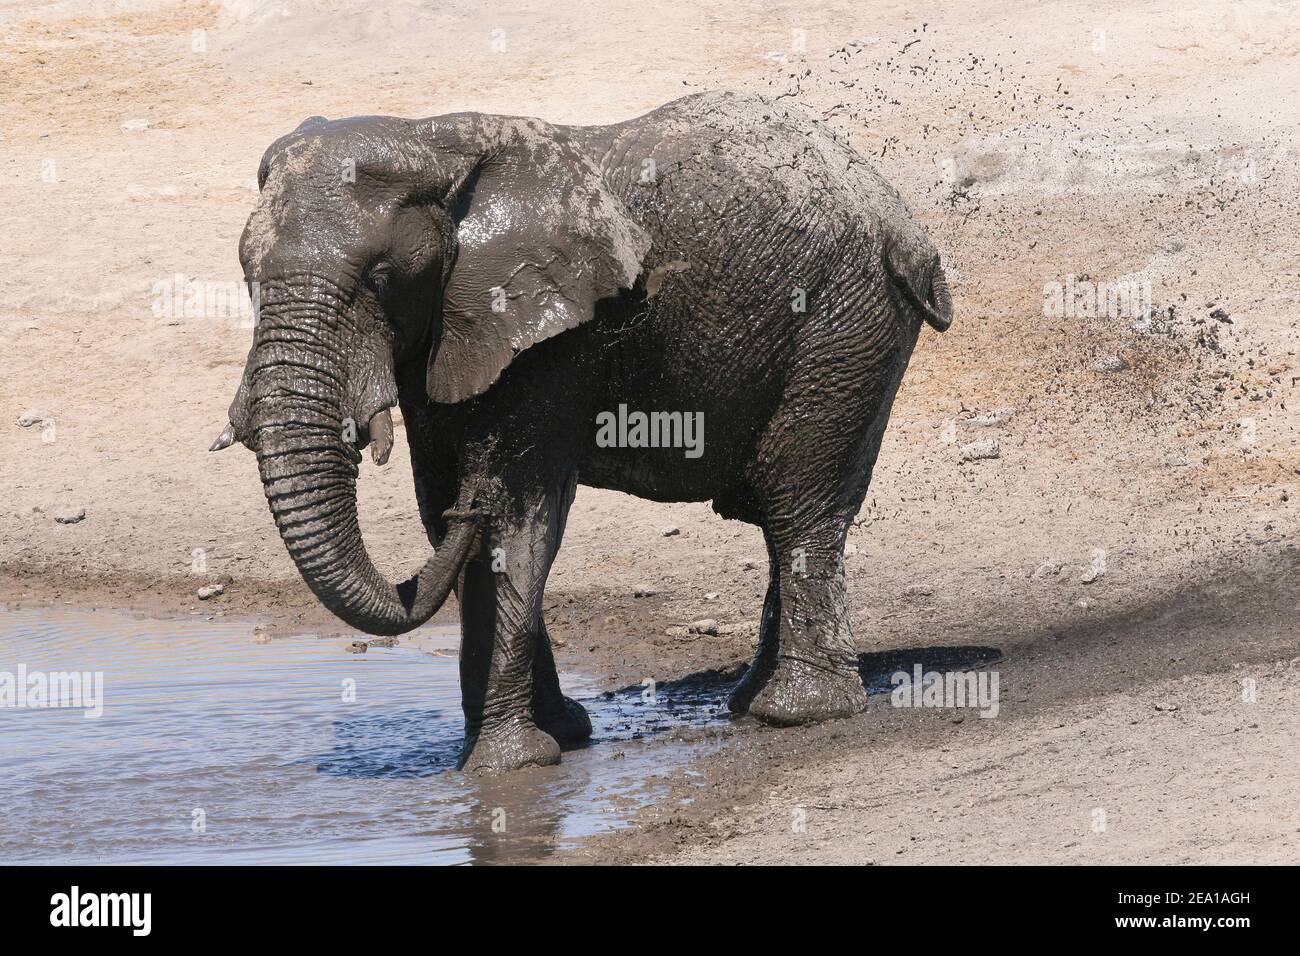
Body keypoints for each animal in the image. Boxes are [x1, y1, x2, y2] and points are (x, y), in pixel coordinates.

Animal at [213, 91, 952, 772]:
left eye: (380, 277)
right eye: (246, 275)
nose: (469, 499)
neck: (432, 143)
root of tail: (902, 218)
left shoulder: (554, 334)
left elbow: (521, 513)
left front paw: (507, 765)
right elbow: (446, 512)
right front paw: (547, 740)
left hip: (844, 323)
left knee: (798, 500)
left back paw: (795, 711)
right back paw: (750, 701)